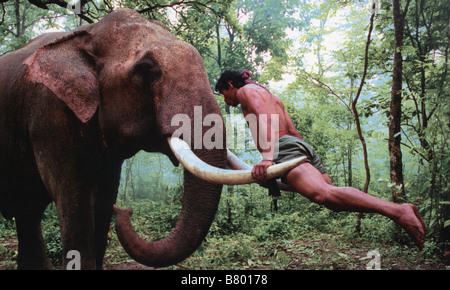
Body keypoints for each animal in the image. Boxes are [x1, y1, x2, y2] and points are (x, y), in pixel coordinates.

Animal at [0, 9, 302, 272]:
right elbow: (73, 199)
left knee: (28, 213)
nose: (126, 210)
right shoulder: (48, 116)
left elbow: (103, 197)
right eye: (146, 70)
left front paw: (111, 207)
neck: (87, 34)